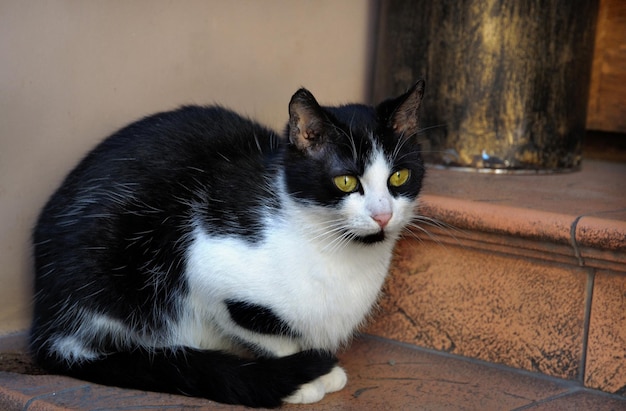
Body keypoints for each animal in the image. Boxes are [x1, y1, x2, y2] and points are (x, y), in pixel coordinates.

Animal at [31, 80, 426, 408]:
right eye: (345, 181)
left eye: (399, 176)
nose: (383, 215)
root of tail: (46, 321)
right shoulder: (209, 266)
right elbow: (273, 336)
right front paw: (307, 378)